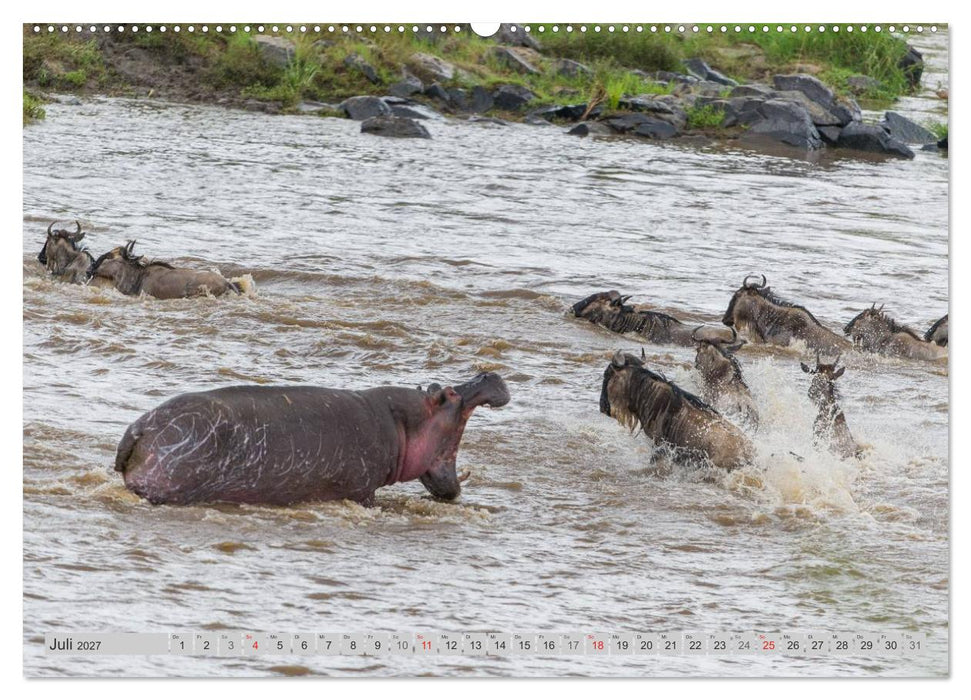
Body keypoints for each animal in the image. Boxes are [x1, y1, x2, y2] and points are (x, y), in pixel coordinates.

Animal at [114, 373, 510, 506]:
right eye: (450, 393)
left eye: (438, 385)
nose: (487, 373)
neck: (403, 424)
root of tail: (140, 428)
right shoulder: (362, 492)